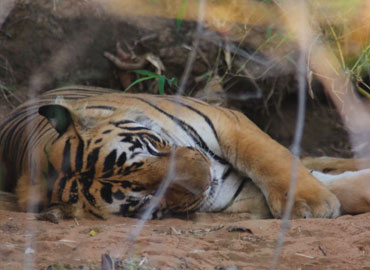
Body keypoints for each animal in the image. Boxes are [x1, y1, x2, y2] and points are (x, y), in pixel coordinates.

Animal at [0, 86, 368, 221]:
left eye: (149, 145)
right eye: (142, 200)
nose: (205, 177)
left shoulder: (228, 121)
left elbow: (272, 159)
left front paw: (310, 203)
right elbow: (345, 189)